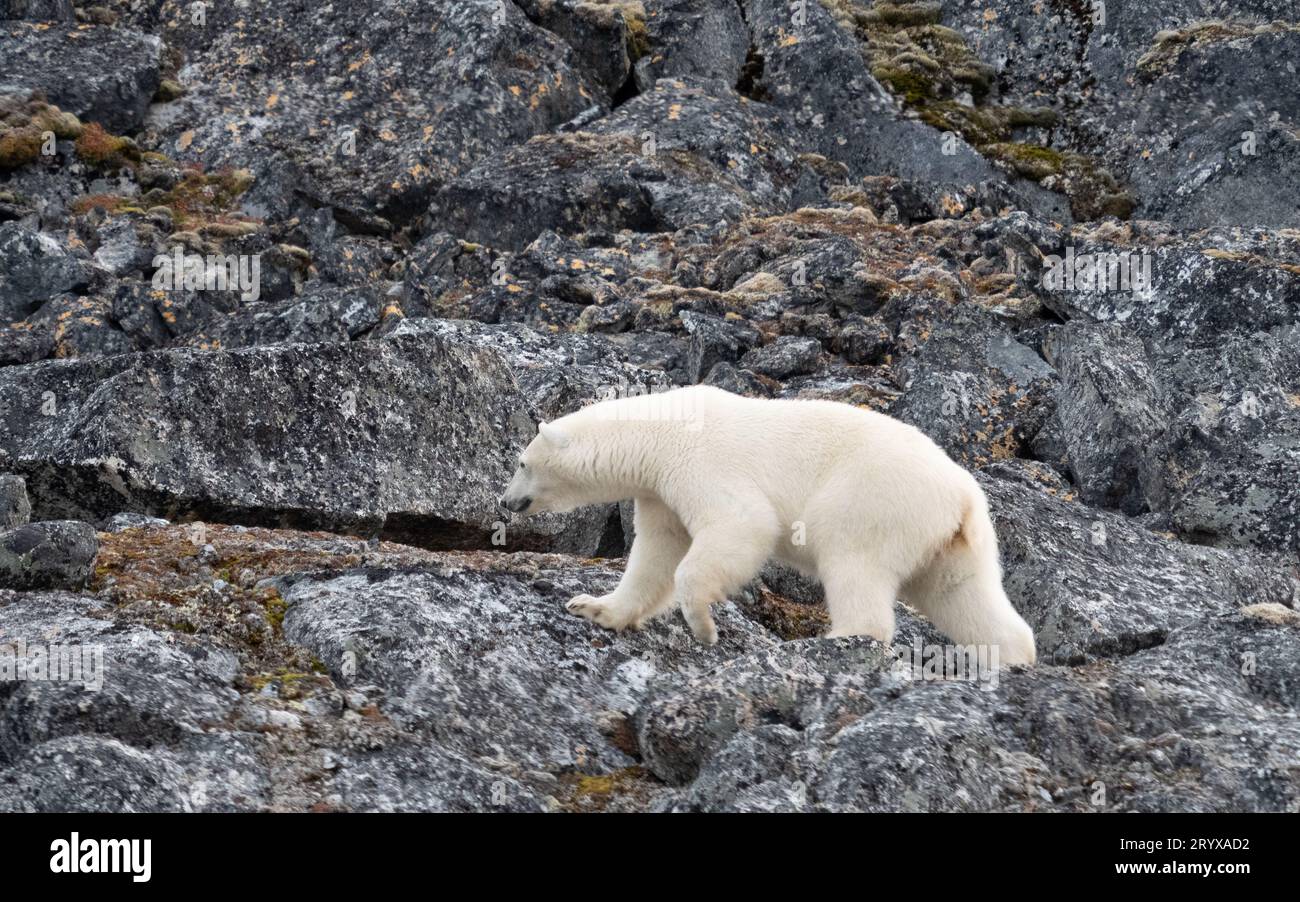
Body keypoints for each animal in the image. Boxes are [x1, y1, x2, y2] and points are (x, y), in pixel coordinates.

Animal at [496, 384, 1034, 665]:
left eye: (521, 462)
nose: (505, 501)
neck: (659, 432)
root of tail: (961, 496)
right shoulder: (660, 491)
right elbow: (656, 553)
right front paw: (594, 606)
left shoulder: (700, 462)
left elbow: (742, 526)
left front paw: (703, 625)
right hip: (954, 544)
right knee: (963, 595)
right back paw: (1012, 656)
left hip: (871, 501)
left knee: (853, 563)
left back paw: (838, 638)